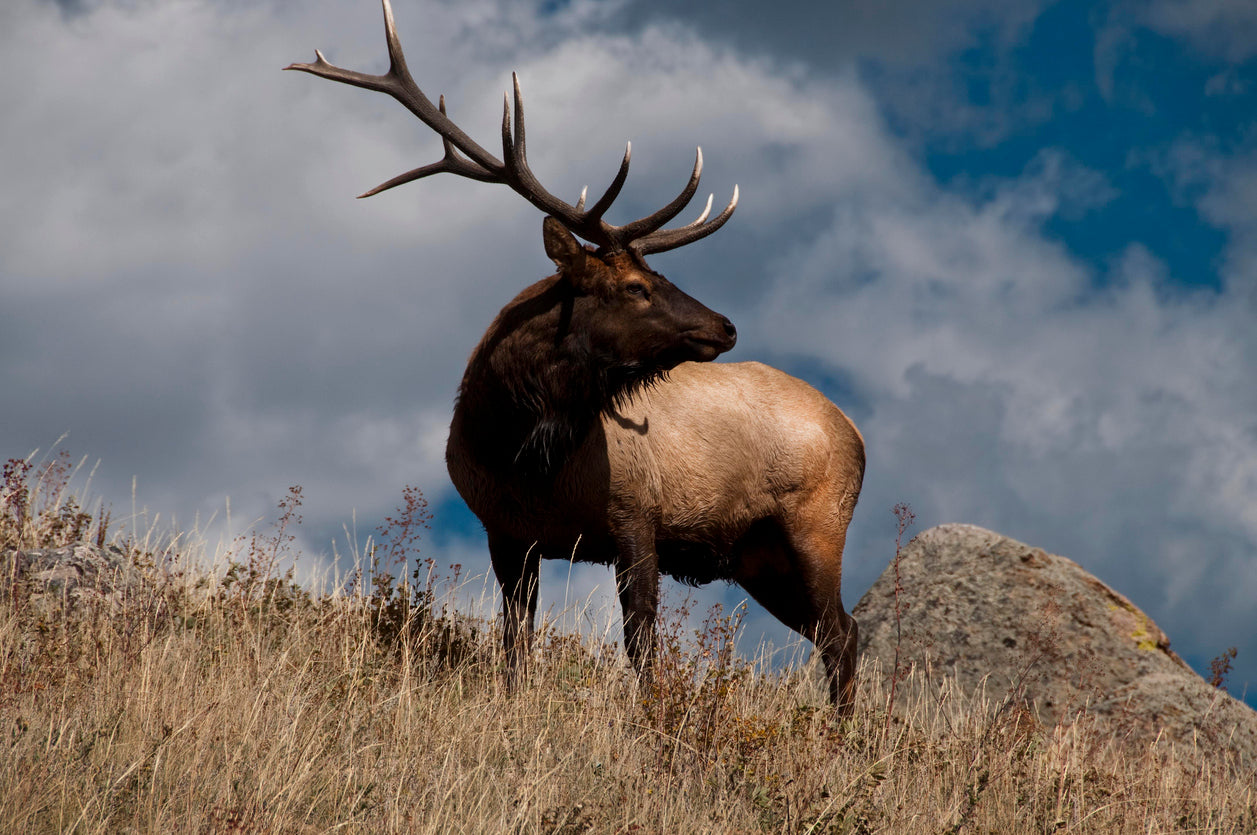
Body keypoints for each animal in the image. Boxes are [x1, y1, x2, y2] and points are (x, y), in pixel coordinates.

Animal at [287, 0, 866, 711]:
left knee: (841, 632)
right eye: (636, 285)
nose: (726, 327)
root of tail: (855, 431)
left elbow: (642, 640)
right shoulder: (507, 534)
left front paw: (653, 719)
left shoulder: (636, 516)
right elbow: (516, 638)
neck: (521, 455)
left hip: (816, 522)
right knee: (838, 630)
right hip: (757, 557)